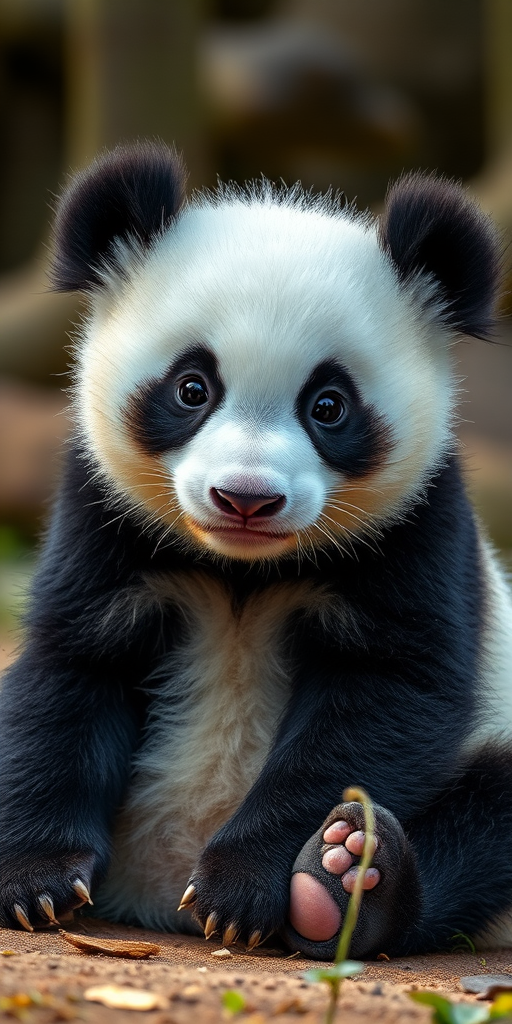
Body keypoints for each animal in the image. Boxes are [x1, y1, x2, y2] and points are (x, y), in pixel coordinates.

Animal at [1, 141, 511, 960]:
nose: (245, 497)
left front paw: (244, 889)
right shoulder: (103, 521)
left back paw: (346, 880)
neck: (241, 570)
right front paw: (35, 880)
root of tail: (153, 906)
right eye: (192, 387)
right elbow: (71, 671)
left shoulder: (417, 530)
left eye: (328, 405)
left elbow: (382, 698)